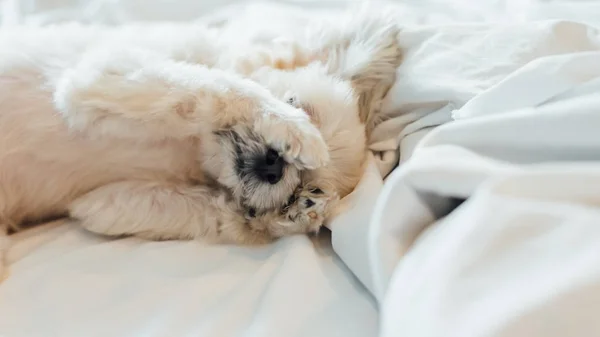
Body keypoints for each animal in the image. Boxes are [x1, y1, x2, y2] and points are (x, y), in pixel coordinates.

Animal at [0, 9, 404, 280]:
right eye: (294, 102)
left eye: (297, 190)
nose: (274, 164)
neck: (195, 149)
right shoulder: (103, 72)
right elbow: (214, 83)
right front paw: (290, 128)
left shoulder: (109, 203)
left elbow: (218, 213)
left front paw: (296, 216)